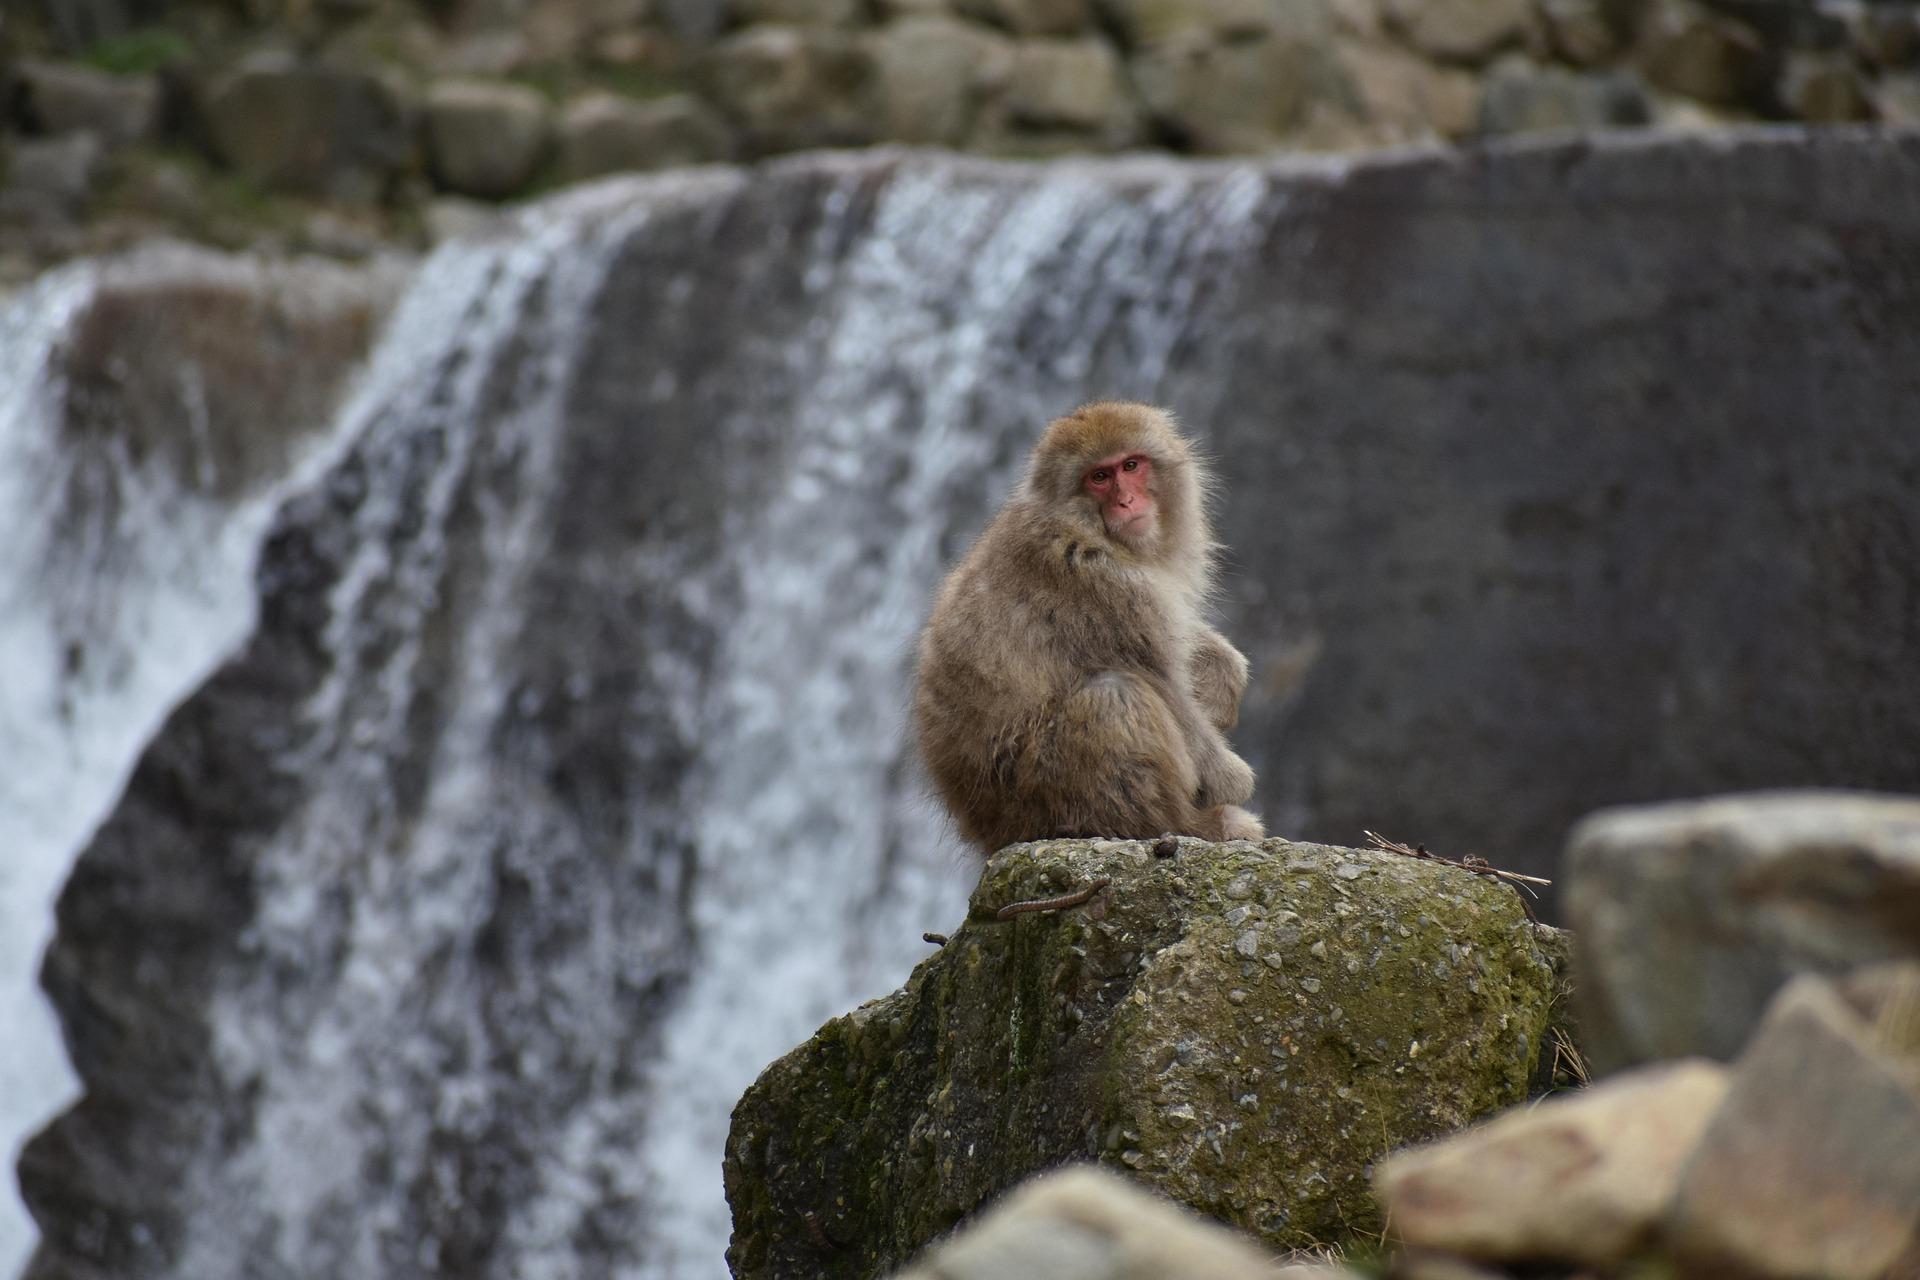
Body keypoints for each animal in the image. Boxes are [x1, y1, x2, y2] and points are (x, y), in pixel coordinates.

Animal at [913, 401, 1265, 853]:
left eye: (1131, 465)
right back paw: (1188, 826)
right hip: (1038, 794)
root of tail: (987, 832)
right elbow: (1166, 684)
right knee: (1114, 696)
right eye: (1099, 477)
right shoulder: (1102, 584)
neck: (1088, 529)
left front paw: (1223, 668)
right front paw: (1232, 779)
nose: (1127, 501)